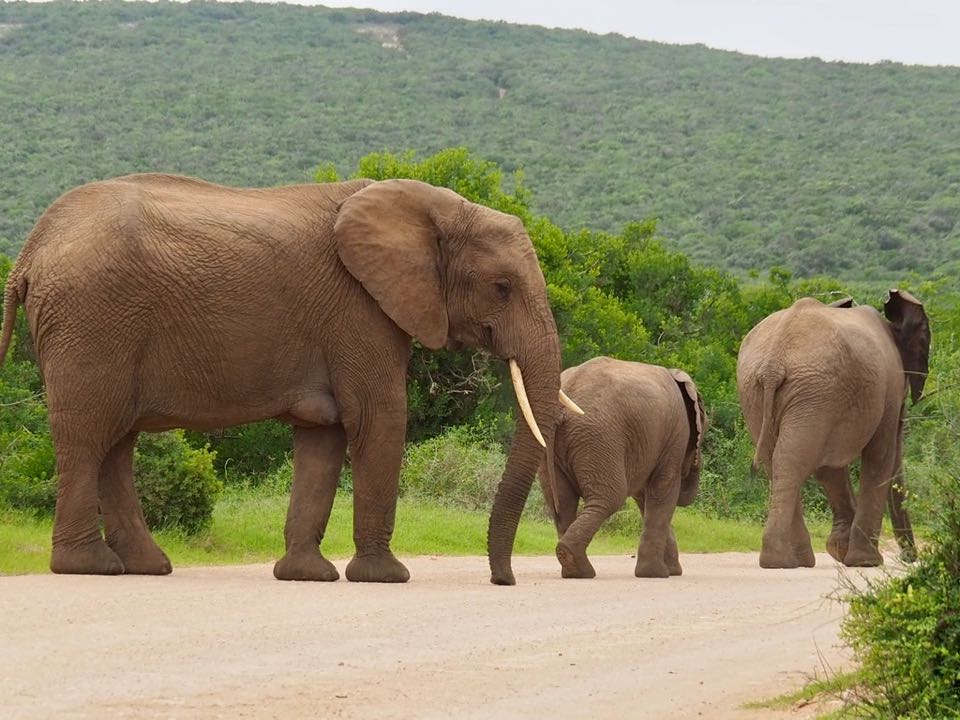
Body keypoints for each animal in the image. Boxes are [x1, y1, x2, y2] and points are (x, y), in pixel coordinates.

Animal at [0, 173, 572, 582]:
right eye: (502, 287)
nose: (504, 581)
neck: (434, 204)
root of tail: (30, 250)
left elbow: (324, 434)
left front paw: (306, 576)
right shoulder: (359, 310)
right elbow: (380, 418)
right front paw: (385, 577)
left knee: (116, 440)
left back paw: (147, 567)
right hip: (91, 318)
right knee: (89, 432)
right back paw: (88, 567)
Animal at [522, 357, 705, 580]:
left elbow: (646, 499)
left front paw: (671, 572)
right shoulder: (676, 434)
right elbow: (662, 492)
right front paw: (656, 574)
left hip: (552, 441)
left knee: (562, 504)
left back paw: (574, 570)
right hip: (599, 437)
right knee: (610, 498)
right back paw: (581, 568)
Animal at [736, 291, 929, 569]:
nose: (909, 558)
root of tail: (774, 362)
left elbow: (829, 467)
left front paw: (840, 551)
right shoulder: (887, 389)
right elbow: (880, 455)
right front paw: (865, 562)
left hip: (766, 390)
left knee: (779, 461)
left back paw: (792, 561)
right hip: (809, 390)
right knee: (791, 460)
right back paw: (784, 561)